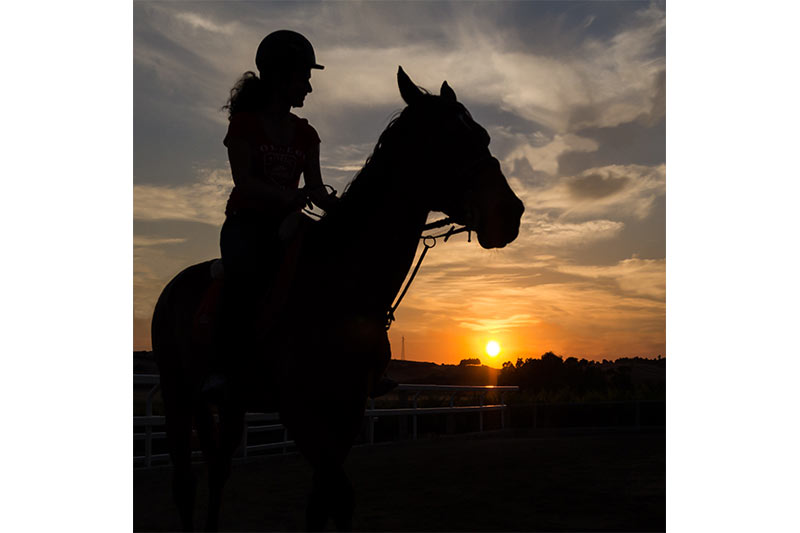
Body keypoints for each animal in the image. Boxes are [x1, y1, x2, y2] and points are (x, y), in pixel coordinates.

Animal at [152, 67, 524, 532]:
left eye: (484, 136)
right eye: (448, 141)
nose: (511, 214)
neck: (340, 284)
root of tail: (175, 286)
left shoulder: (346, 408)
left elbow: (326, 502)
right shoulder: (299, 409)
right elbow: (337, 493)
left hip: (230, 402)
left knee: (219, 469)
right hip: (176, 392)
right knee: (185, 482)